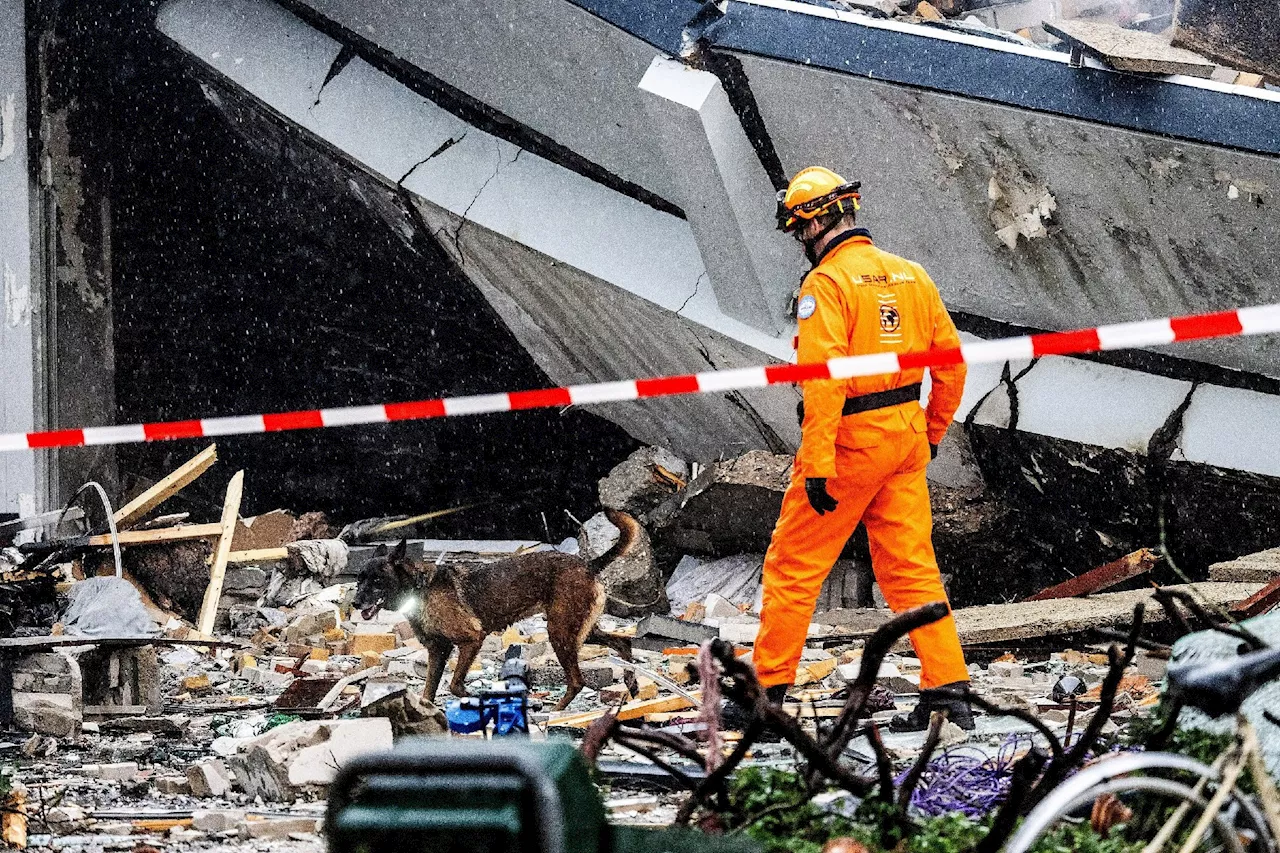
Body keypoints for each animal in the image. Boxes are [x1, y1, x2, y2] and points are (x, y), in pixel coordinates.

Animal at [353, 507, 637, 706]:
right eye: (359, 579)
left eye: (377, 580)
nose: (355, 603)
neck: (419, 588)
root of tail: (588, 565)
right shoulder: (438, 650)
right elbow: (428, 693)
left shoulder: (471, 639)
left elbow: (455, 685)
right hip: (580, 629)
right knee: (623, 643)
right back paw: (632, 685)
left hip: (561, 632)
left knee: (577, 681)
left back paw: (555, 714)